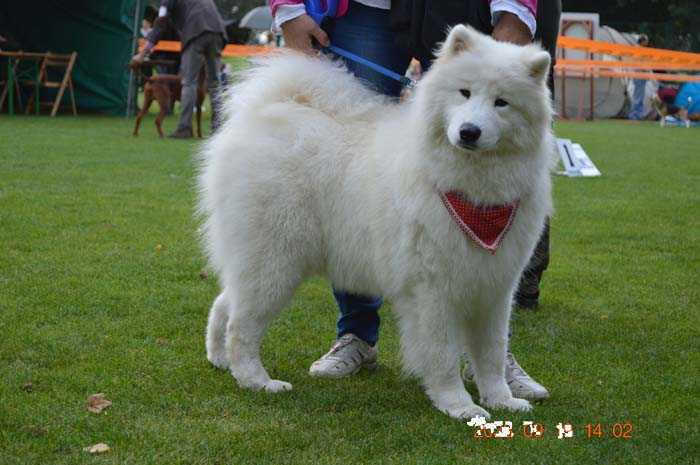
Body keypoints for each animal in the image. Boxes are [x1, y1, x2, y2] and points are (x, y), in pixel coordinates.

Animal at [200, 23, 556, 418]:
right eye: (464, 93)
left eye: (501, 102)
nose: (469, 131)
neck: (474, 193)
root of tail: (268, 110)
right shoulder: (433, 290)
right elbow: (443, 355)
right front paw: (459, 405)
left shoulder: (493, 286)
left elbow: (492, 354)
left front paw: (502, 399)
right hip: (275, 263)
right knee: (242, 326)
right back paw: (257, 381)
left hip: (262, 263)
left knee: (224, 304)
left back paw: (220, 359)